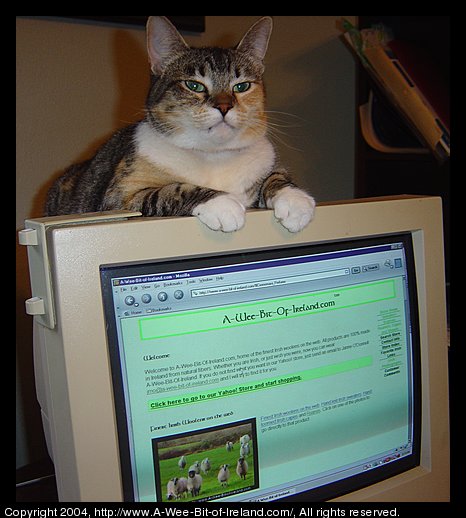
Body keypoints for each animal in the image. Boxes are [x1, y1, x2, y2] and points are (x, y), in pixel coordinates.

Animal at [44, 15, 316, 234]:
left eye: (242, 86)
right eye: (194, 85)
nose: (224, 107)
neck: (214, 157)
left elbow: (276, 174)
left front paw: (296, 201)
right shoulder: (119, 198)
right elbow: (172, 189)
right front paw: (223, 204)